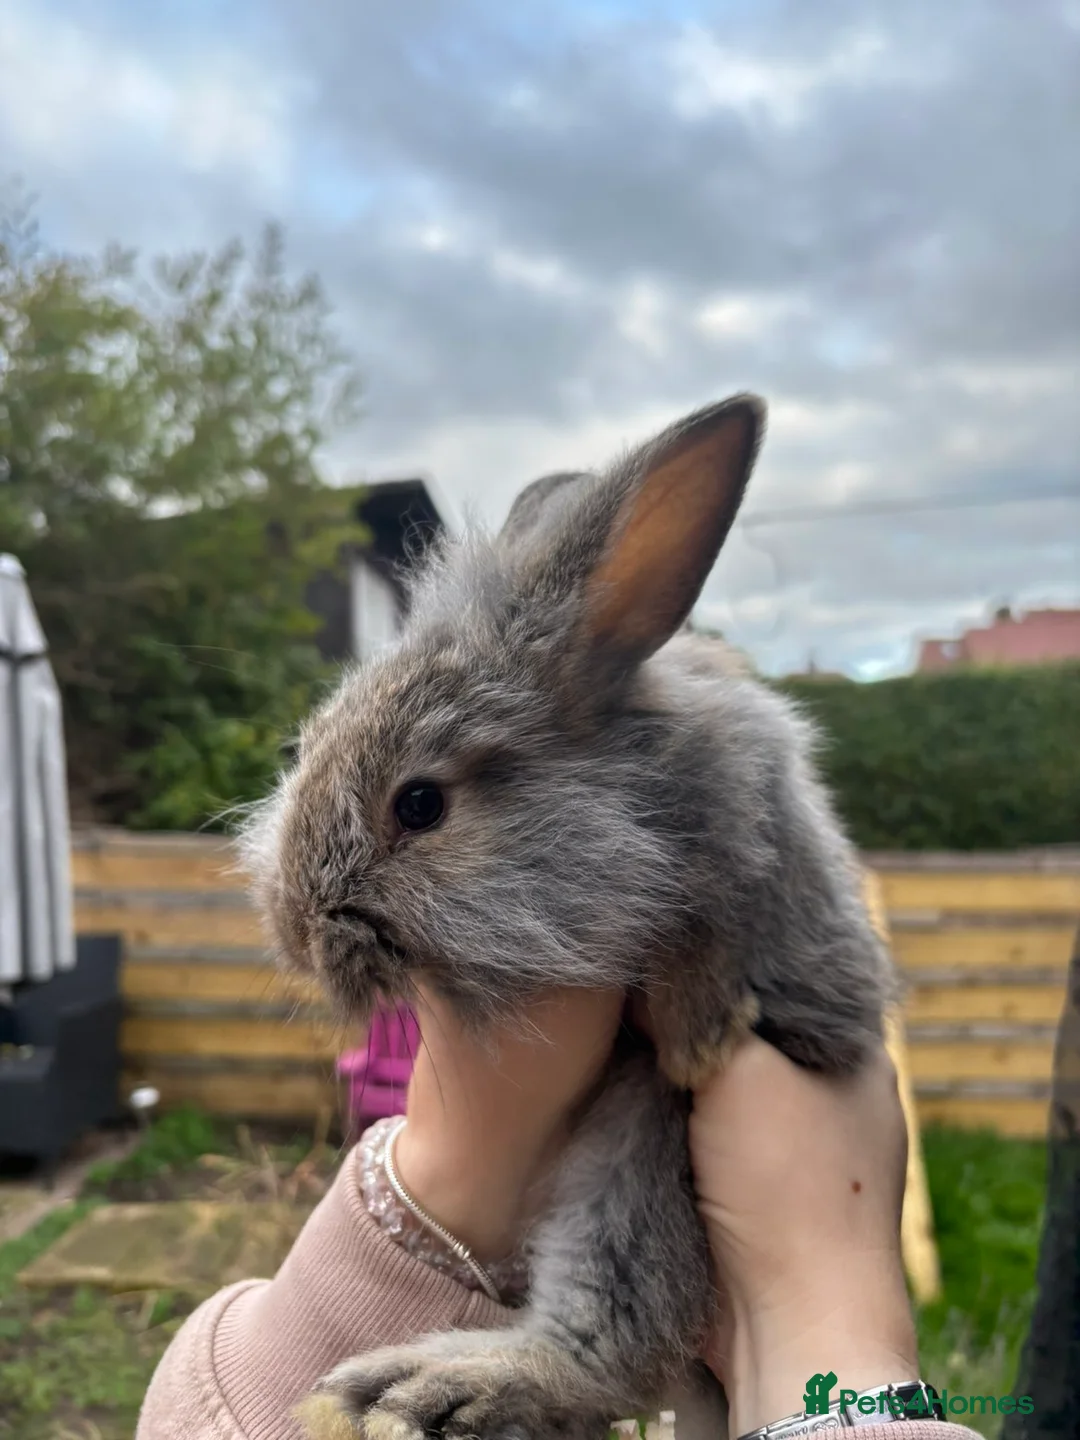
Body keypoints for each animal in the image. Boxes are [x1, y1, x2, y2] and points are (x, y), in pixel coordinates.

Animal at [239, 394, 894, 1440]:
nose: (298, 929)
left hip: (634, 1162)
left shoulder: (746, 844)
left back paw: (423, 1389)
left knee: (617, 1346)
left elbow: (718, 929)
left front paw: (700, 1035)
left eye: (419, 805)